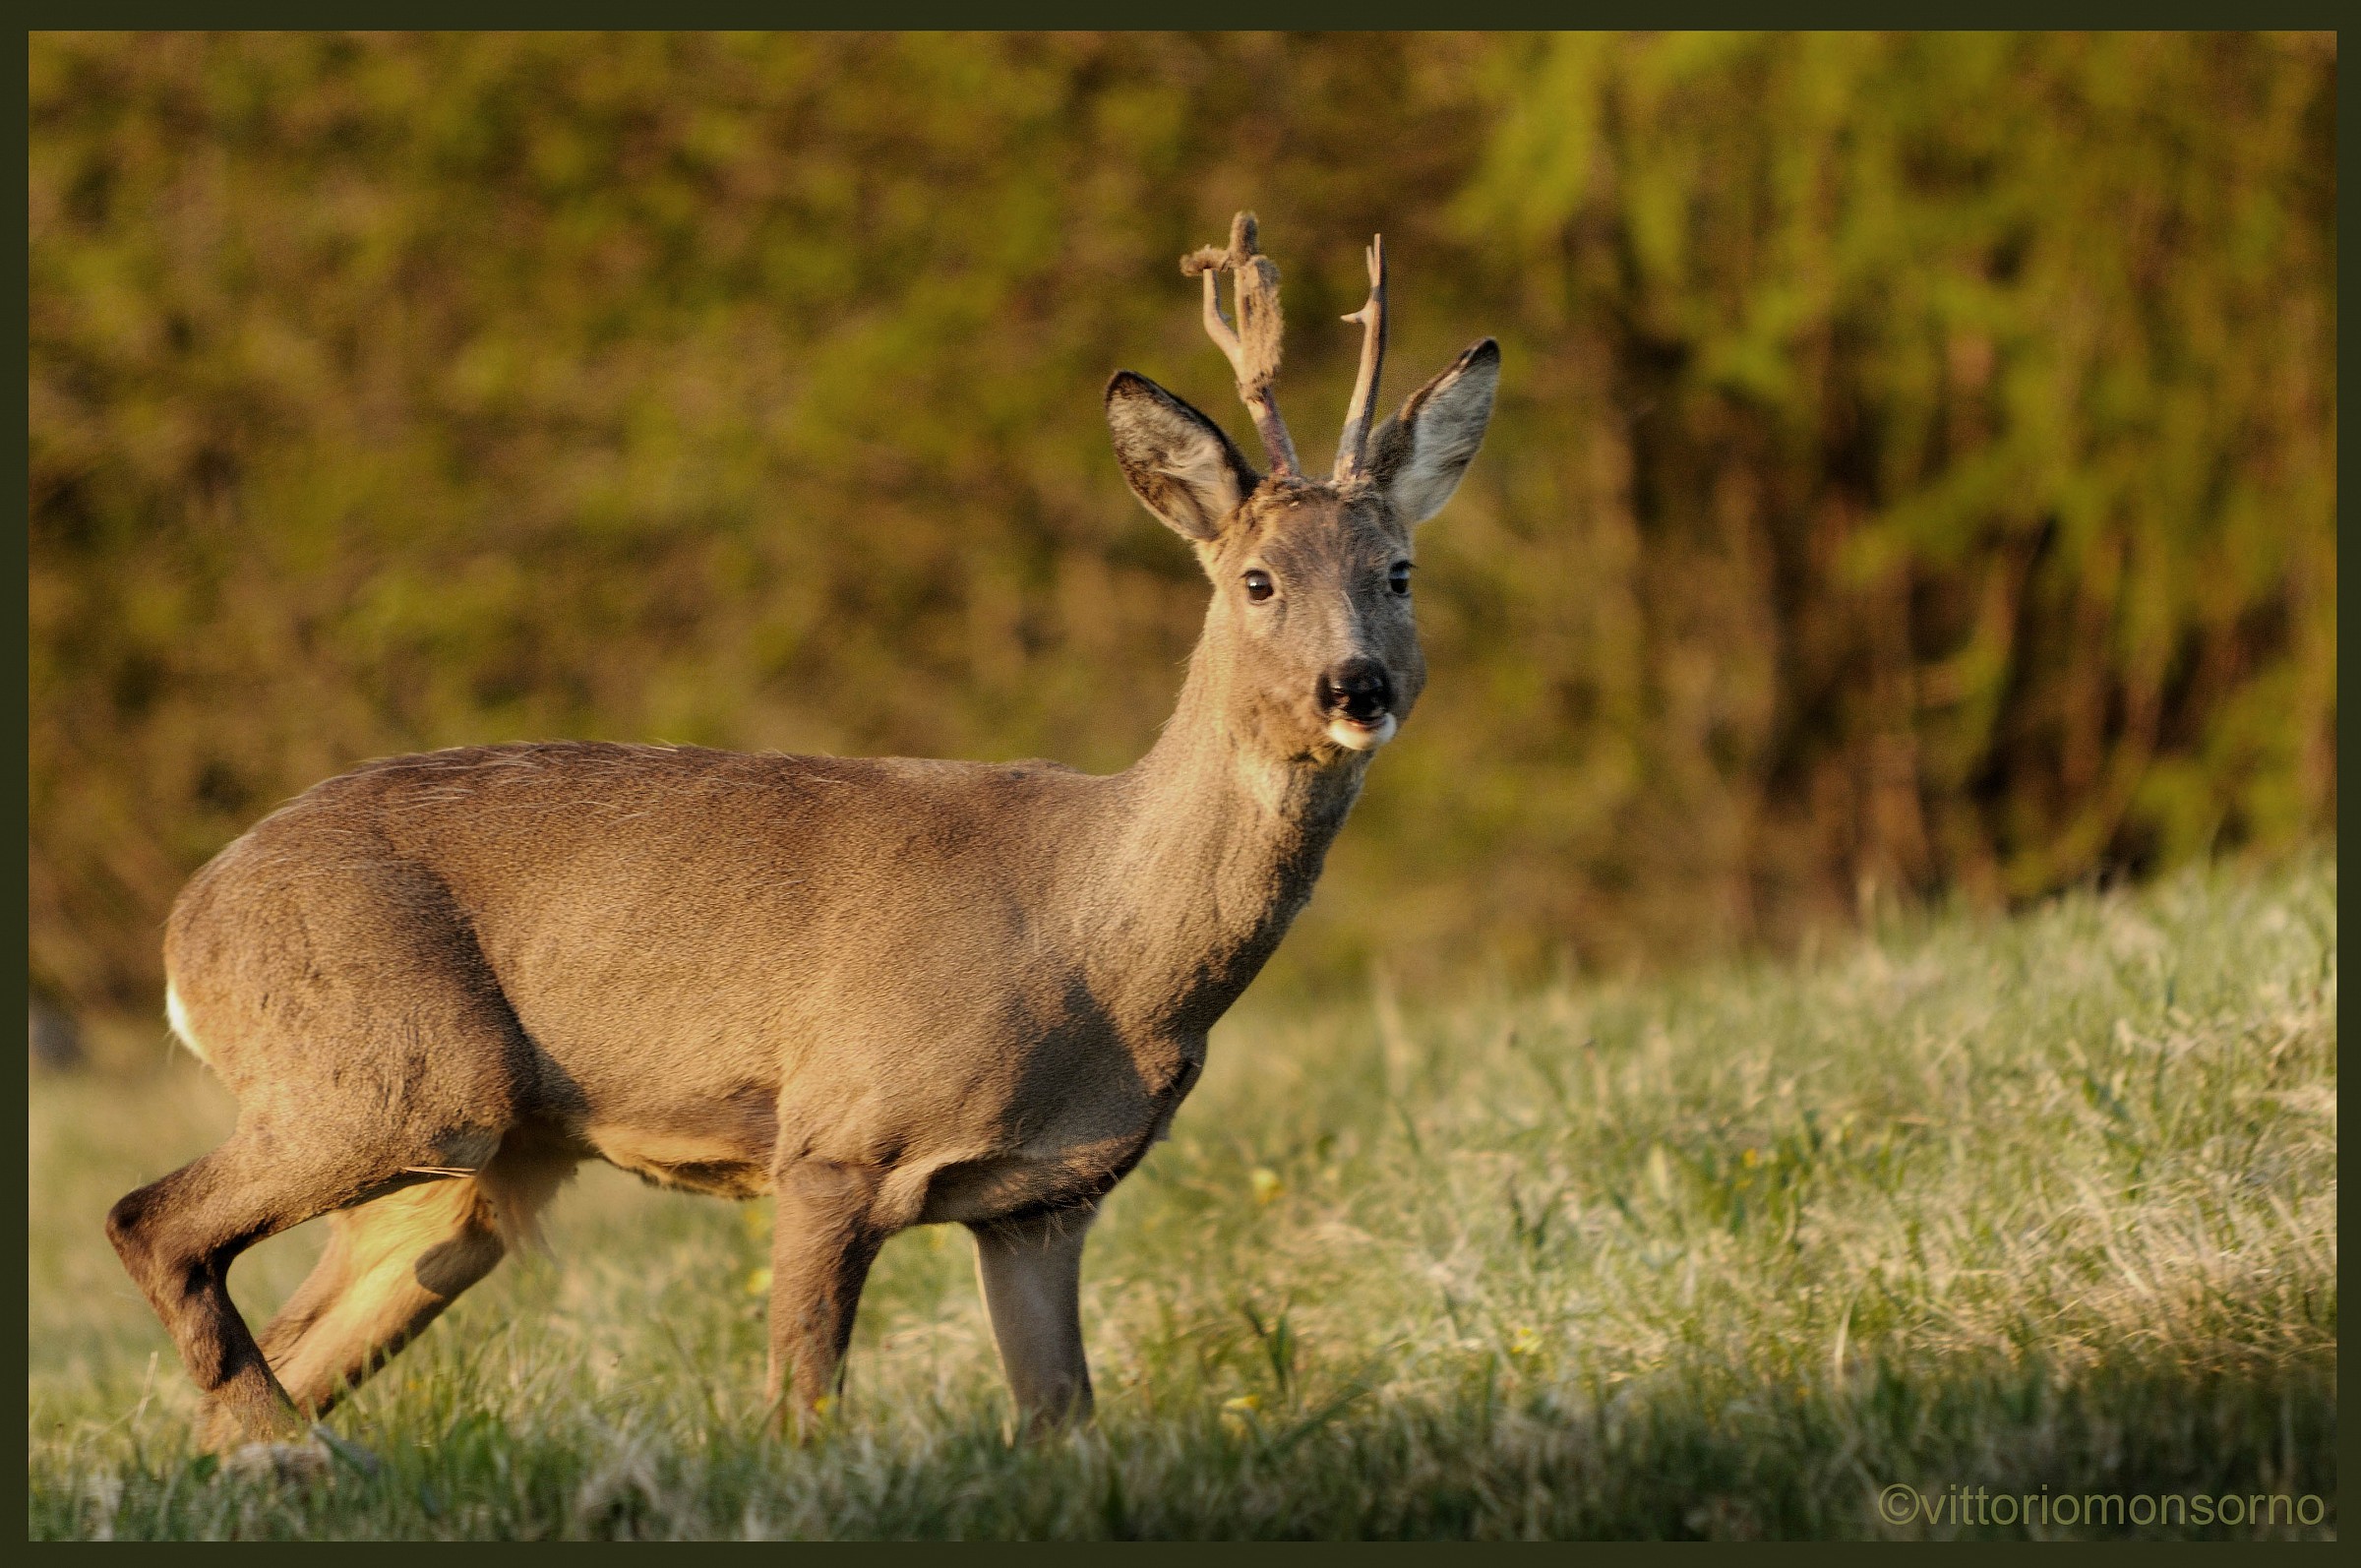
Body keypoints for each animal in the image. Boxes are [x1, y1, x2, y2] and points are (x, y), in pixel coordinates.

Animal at [105, 212, 1500, 1465]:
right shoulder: (835, 1137)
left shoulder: (1049, 1200)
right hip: (398, 1070)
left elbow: (1061, 1422)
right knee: (148, 1219)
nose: (1356, 687)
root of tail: (184, 928)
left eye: (1399, 571)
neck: (1098, 948)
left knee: (280, 1335)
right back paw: (298, 1455)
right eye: (1257, 580)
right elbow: (801, 1414)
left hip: (463, 1172)